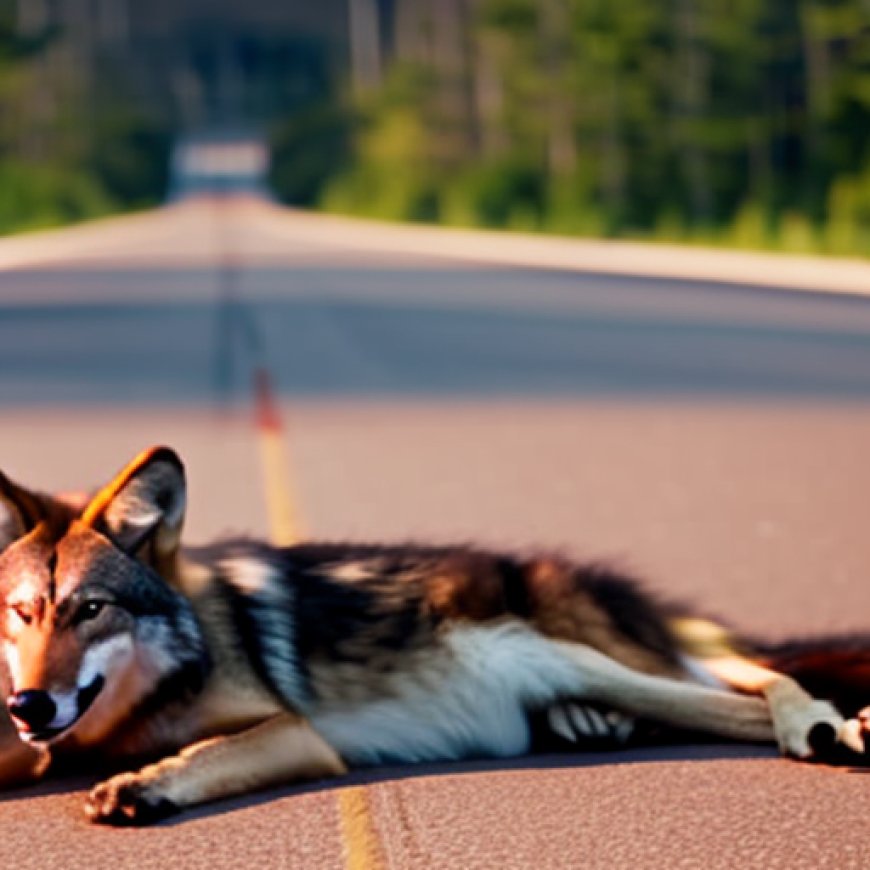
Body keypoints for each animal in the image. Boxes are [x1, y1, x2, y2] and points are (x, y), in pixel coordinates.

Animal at [1, 446, 870, 828]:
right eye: (20, 612)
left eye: (90, 610)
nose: (28, 704)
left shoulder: (298, 731)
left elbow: (205, 752)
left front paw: (137, 786)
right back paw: (587, 723)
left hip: (562, 652)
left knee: (750, 686)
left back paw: (825, 727)